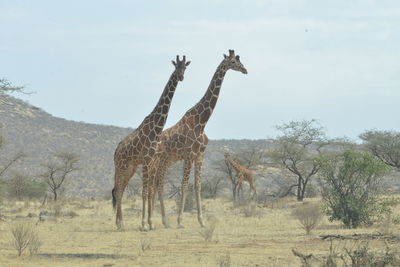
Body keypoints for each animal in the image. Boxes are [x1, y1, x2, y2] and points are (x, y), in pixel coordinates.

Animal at [110, 55, 190, 231]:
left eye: (185, 68)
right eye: (176, 67)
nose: (181, 77)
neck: (157, 127)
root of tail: (116, 150)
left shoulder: (151, 160)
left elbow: (148, 192)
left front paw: (150, 223)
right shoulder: (146, 160)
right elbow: (145, 192)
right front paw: (144, 225)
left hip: (131, 167)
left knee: (120, 189)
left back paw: (119, 223)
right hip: (120, 165)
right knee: (118, 190)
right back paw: (120, 223)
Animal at [151, 50, 247, 228]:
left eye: (239, 60)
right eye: (233, 62)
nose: (245, 70)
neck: (202, 121)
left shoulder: (200, 155)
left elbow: (197, 186)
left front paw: (202, 221)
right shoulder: (189, 155)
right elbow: (184, 186)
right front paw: (180, 221)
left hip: (168, 161)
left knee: (157, 183)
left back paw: (160, 220)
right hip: (160, 160)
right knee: (157, 183)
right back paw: (159, 219)